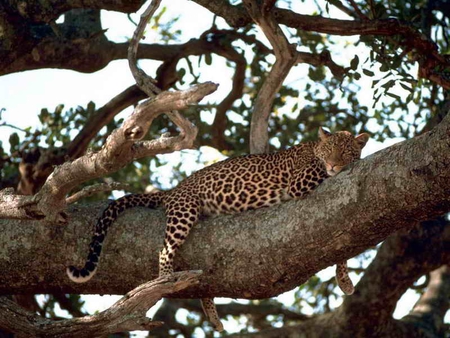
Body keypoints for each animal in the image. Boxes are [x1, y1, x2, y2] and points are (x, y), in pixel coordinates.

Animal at [67, 128, 370, 332]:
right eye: (329, 150)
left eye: (345, 151)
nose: (334, 164)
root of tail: (174, 190)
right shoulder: (301, 181)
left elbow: (343, 248)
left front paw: (344, 280)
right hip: (184, 211)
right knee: (164, 250)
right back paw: (164, 281)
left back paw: (212, 316)